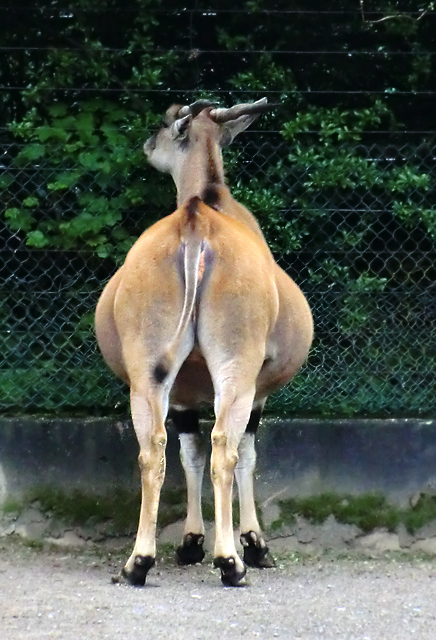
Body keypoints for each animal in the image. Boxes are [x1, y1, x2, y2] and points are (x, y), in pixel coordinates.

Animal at [95, 99, 314, 584]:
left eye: (163, 123)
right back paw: (230, 561)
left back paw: (139, 561)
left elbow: (187, 455)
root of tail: (194, 222)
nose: (147, 143)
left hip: (149, 374)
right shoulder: (255, 394)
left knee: (153, 450)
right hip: (235, 369)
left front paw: (191, 541)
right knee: (224, 449)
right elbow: (242, 454)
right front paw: (249, 544)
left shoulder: (181, 395)